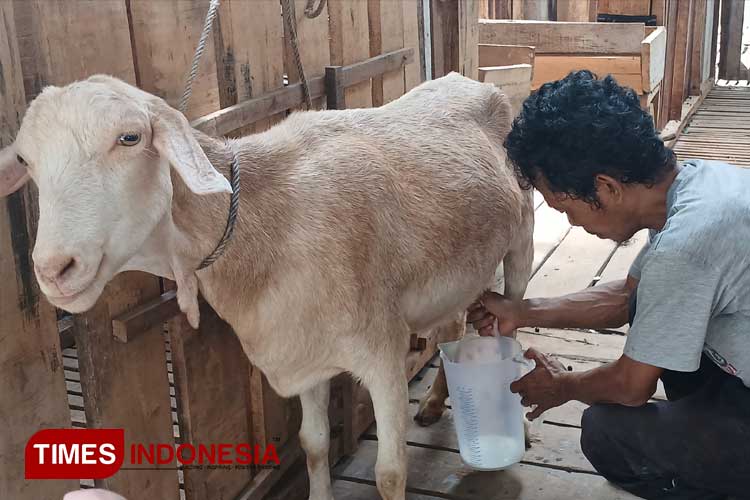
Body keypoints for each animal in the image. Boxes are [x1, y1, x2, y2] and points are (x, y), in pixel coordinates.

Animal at [2, 71, 536, 500]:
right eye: (25, 160)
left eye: (129, 137)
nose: (54, 270)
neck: (265, 223)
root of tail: (472, 81)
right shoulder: (306, 350)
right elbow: (313, 446)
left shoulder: (381, 349)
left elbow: (389, 473)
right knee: (454, 328)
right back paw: (433, 402)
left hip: (521, 242)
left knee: (511, 321)